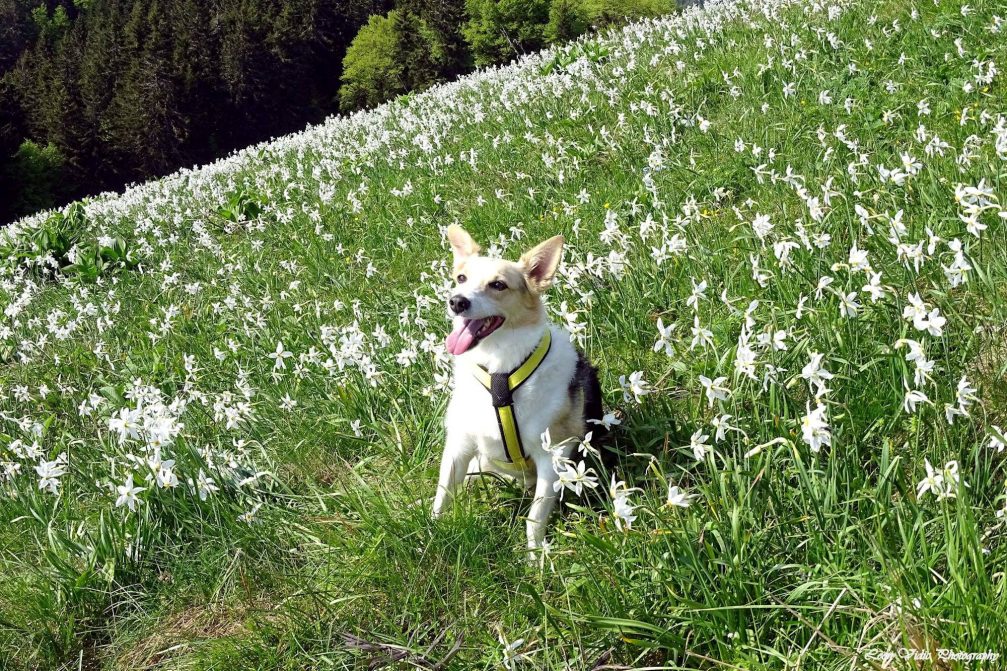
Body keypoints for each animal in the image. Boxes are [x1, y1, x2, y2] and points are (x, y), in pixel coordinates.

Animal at [428, 221, 600, 552]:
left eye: (498, 285)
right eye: (461, 278)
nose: (457, 301)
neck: (500, 371)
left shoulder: (552, 455)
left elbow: (534, 518)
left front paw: (536, 557)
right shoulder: (460, 445)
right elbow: (442, 495)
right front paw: (430, 533)